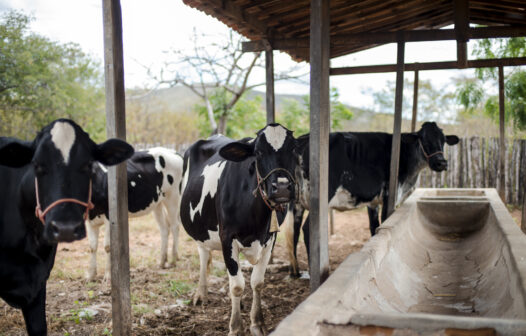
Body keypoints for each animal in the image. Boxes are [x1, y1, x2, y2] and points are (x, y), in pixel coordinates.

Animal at [85, 147, 185, 280]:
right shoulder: (89, 220)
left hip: (173, 196)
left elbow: (108, 246)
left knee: (175, 226)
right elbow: (92, 247)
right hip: (157, 203)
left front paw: (108, 275)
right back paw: (162, 262)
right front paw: (91, 275)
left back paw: (173, 260)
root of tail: (173, 152)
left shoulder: (109, 217)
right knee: (164, 228)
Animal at [180, 124, 296, 336]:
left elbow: (257, 282)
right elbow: (237, 286)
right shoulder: (227, 237)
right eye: (258, 152)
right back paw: (201, 294)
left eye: (293, 149)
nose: (282, 187)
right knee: (204, 254)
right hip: (200, 230)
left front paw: (257, 323)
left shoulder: (270, 239)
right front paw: (235, 327)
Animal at [286, 121, 460, 276]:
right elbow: (383, 223)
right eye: (423, 139)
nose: (441, 163)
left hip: (297, 202)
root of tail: (301, 140)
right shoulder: (390, 196)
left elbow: (374, 227)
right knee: (307, 229)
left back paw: (296, 272)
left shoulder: (373, 202)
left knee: (294, 231)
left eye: (443, 140)